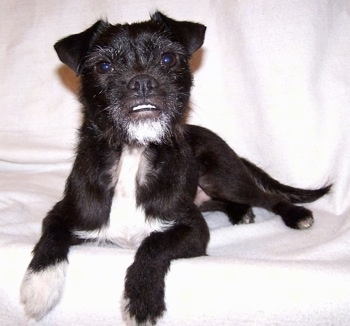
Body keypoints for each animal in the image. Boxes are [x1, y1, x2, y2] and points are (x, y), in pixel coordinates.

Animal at [19, 11, 330, 324]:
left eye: (168, 58)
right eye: (104, 65)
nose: (142, 81)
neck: (133, 154)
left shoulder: (194, 230)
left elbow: (154, 244)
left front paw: (142, 298)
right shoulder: (61, 213)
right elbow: (50, 236)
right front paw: (39, 286)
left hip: (223, 176)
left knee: (268, 196)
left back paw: (295, 214)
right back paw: (240, 213)